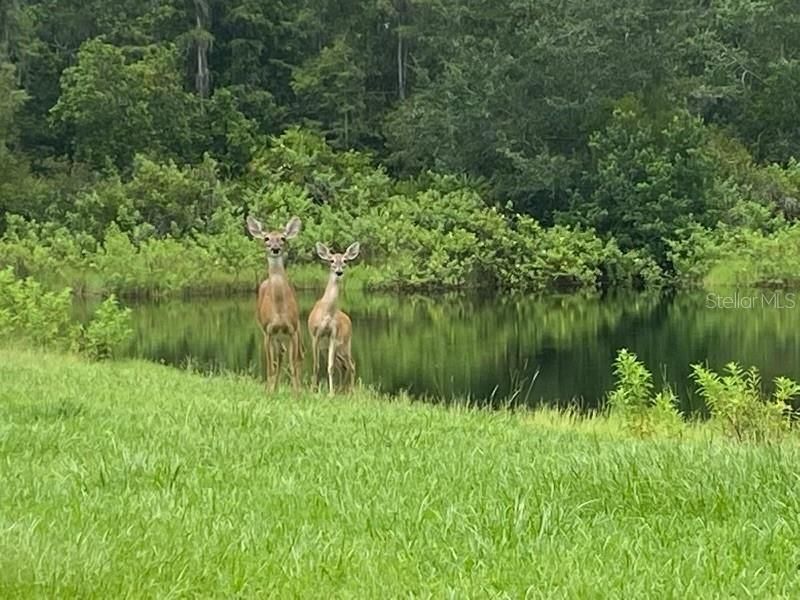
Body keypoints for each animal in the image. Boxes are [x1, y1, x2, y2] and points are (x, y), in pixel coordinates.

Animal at [245, 216, 302, 394]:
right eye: (266, 238)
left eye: (283, 238)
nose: (275, 248)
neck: (279, 310)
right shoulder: (268, 331)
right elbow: (270, 366)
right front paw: (268, 392)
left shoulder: (292, 329)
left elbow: (294, 365)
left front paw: (297, 394)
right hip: (269, 334)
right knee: (277, 357)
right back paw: (272, 389)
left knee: (286, 355)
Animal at [308, 241, 360, 396]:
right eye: (331, 260)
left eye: (345, 260)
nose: (339, 271)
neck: (327, 313)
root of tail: (348, 318)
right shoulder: (315, 335)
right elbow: (316, 365)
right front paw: (313, 390)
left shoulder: (333, 335)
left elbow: (329, 367)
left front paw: (330, 393)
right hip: (329, 349)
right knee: (342, 365)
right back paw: (342, 389)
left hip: (345, 344)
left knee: (351, 364)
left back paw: (350, 391)